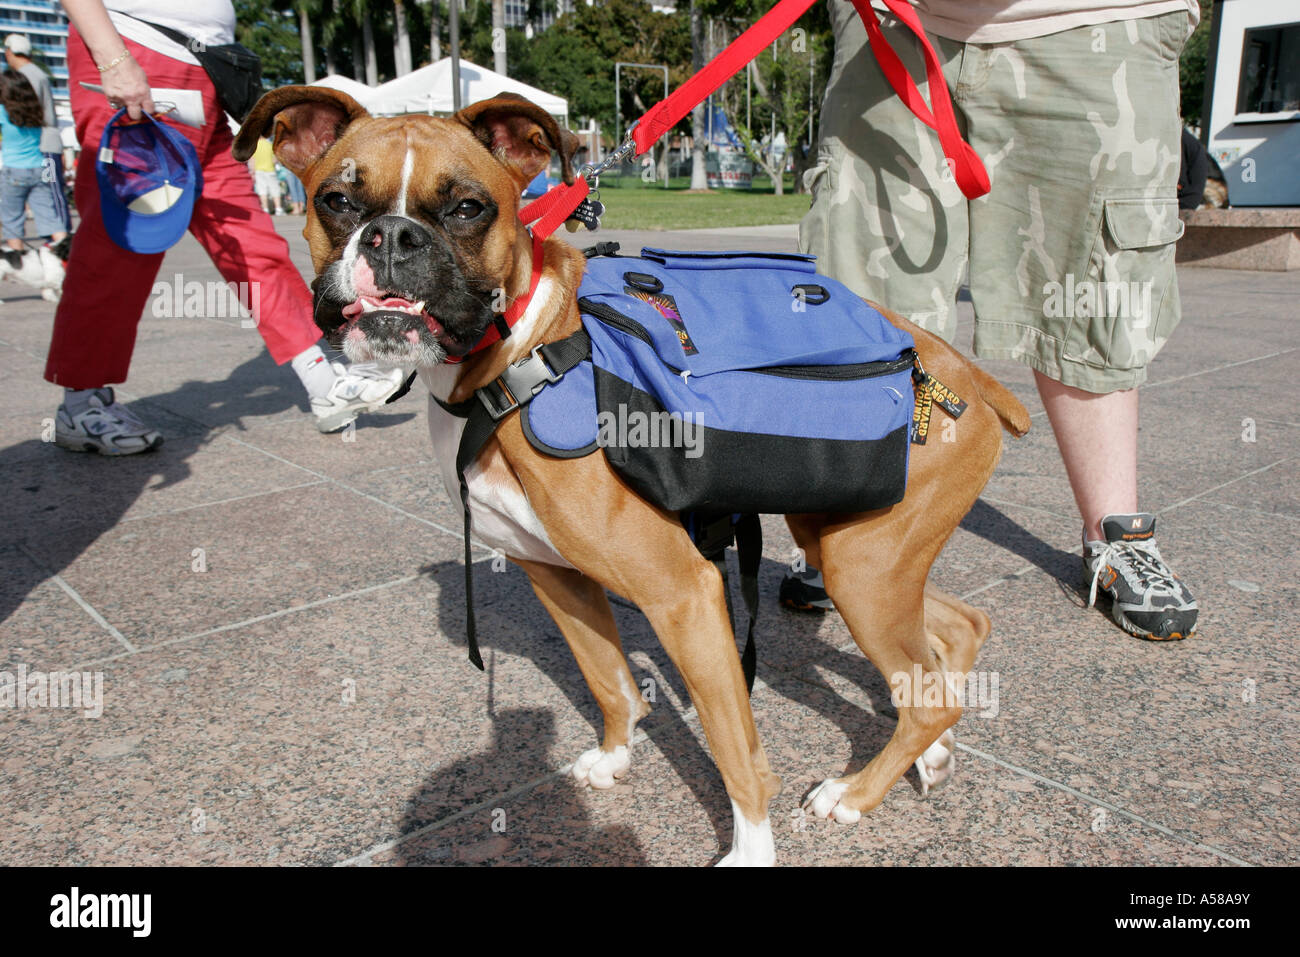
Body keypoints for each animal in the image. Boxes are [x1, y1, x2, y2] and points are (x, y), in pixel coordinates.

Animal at [231, 87, 1024, 868]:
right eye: (337, 201)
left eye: (466, 208)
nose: (392, 237)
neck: (518, 359)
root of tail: (962, 371)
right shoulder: (556, 577)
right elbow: (609, 682)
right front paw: (616, 757)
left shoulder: (684, 595)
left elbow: (737, 753)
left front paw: (749, 850)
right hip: (852, 550)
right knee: (955, 633)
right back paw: (931, 755)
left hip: (863, 568)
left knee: (929, 695)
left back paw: (855, 794)